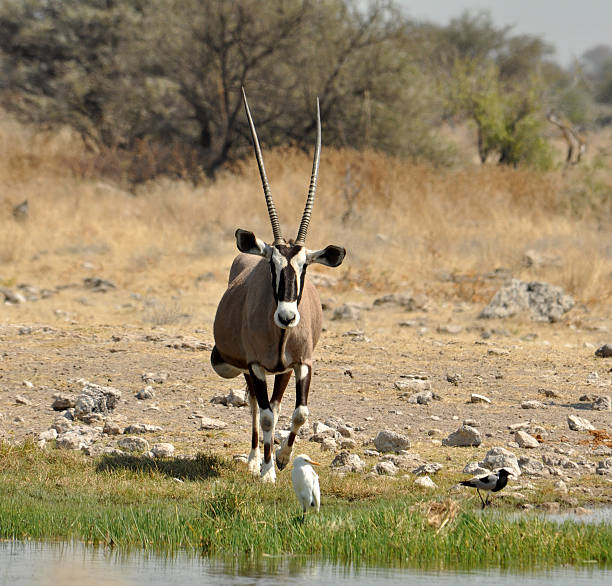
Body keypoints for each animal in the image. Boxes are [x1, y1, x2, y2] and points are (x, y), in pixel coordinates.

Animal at [209, 88, 344, 480]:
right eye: (272, 263)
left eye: (304, 266)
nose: (286, 317)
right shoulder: (255, 365)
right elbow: (267, 414)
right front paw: (268, 468)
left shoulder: (302, 364)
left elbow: (299, 412)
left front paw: (283, 458)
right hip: (249, 369)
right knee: (258, 406)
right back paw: (256, 458)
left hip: (282, 371)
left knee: (278, 405)